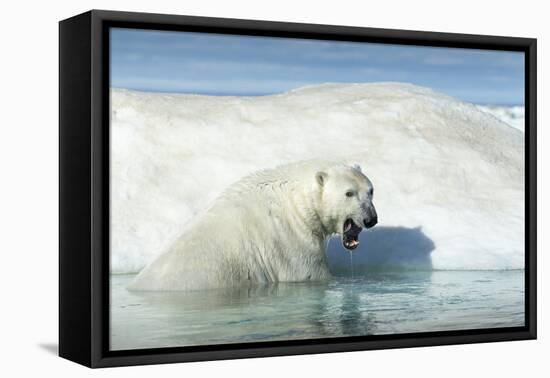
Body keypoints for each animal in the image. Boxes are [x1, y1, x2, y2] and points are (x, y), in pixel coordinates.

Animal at [129, 161, 380, 290]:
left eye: (370, 190)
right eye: (349, 193)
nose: (371, 219)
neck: (295, 201)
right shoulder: (289, 240)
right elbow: (309, 273)